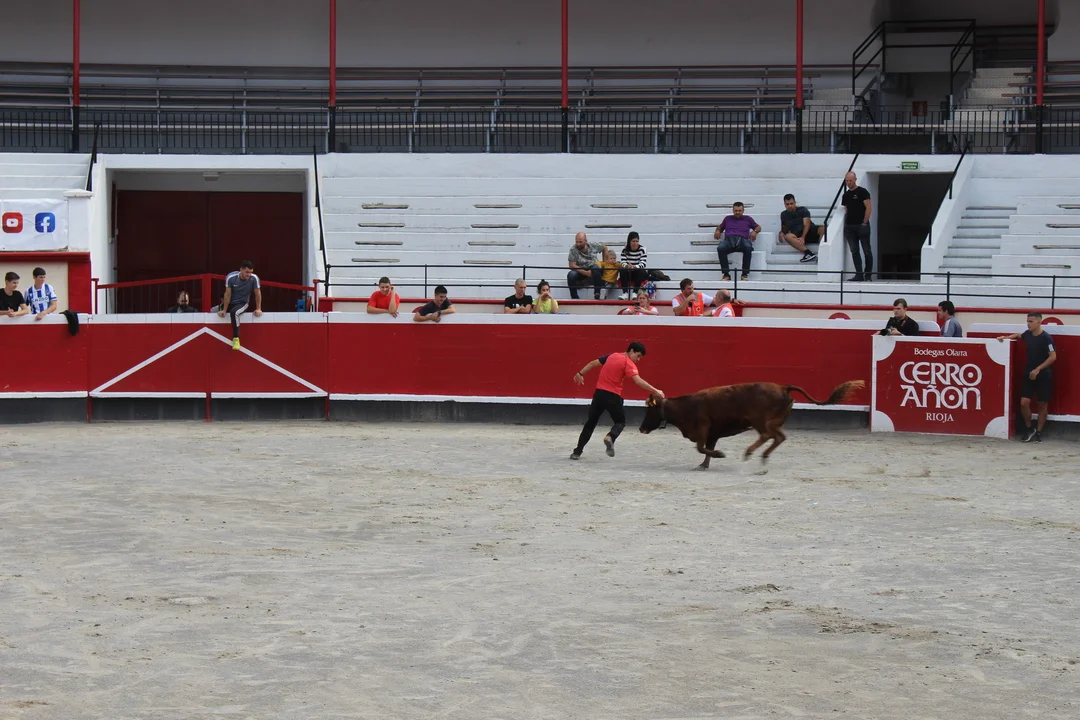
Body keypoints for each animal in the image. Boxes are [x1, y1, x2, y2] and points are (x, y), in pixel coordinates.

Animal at [639, 381, 865, 469]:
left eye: (649, 410)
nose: (641, 428)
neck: (687, 406)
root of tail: (783, 387)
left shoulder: (703, 429)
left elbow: (700, 447)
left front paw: (719, 455)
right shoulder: (713, 433)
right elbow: (706, 449)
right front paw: (704, 465)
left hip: (758, 420)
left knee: (768, 436)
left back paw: (750, 452)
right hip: (774, 422)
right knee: (779, 437)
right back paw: (763, 456)